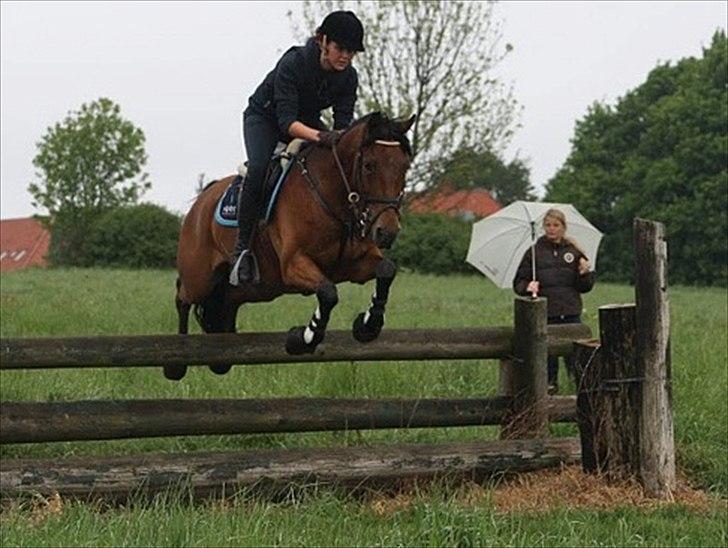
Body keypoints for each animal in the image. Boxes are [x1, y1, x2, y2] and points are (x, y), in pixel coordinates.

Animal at [166, 112, 416, 382]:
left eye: (404, 166)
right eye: (369, 165)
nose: (387, 232)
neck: (333, 196)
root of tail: (201, 201)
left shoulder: (354, 266)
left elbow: (386, 270)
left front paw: (367, 326)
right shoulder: (294, 263)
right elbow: (328, 292)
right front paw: (302, 339)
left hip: (258, 288)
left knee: (226, 302)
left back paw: (220, 358)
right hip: (200, 277)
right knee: (182, 296)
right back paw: (176, 363)